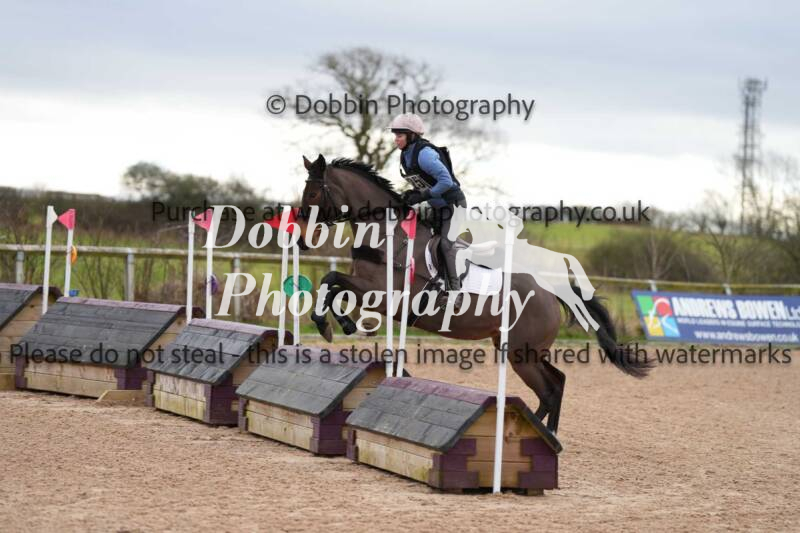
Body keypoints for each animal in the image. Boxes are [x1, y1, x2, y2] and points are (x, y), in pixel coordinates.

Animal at [294, 154, 651, 433]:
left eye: (312, 192)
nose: (300, 240)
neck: (386, 233)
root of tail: (549, 292)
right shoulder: (369, 289)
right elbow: (332, 284)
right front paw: (338, 325)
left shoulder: (383, 294)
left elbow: (333, 280)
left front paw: (330, 325)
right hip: (523, 349)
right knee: (558, 382)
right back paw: (545, 434)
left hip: (521, 353)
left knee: (550, 390)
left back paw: (537, 436)